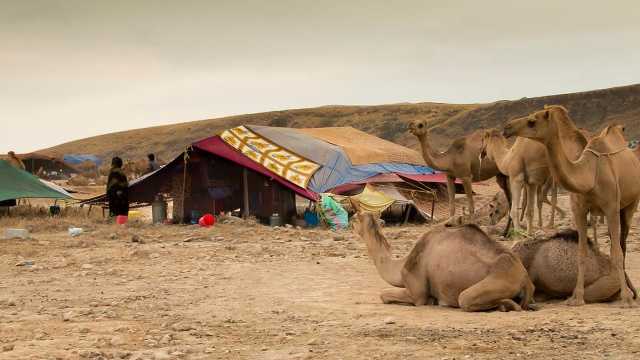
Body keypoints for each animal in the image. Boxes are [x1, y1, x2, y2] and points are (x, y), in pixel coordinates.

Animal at [350, 212, 536, 310]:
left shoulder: (417, 293)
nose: (350, 220)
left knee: (466, 299)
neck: (401, 264)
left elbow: (384, 295)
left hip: (497, 281)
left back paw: (505, 305)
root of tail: (525, 278)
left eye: (356, 219)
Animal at [504, 106, 640, 306]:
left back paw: (630, 293)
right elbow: (582, 253)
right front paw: (577, 298)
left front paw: (626, 300)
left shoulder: (610, 208)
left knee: (621, 245)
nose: (507, 128)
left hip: (629, 206)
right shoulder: (579, 210)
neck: (589, 176)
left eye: (532, 121)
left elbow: (617, 252)